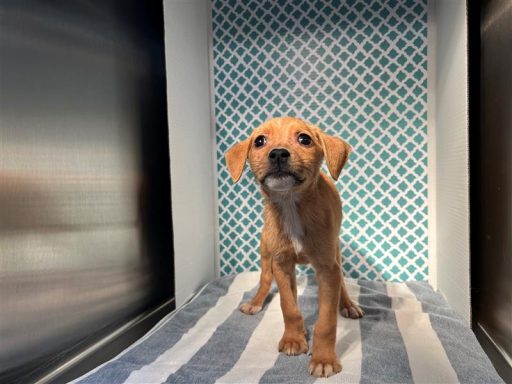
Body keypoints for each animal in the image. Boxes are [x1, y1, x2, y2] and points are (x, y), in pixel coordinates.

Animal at [225, 115, 364, 376]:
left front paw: (323, 359)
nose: (278, 153)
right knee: (266, 281)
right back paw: (256, 304)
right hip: (266, 252)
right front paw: (293, 339)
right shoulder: (281, 264)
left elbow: (326, 321)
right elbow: (288, 306)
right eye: (259, 141)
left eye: (304, 139)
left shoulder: (327, 268)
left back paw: (348, 305)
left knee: (341, 281)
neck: (290, 204)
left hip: (335, 252)